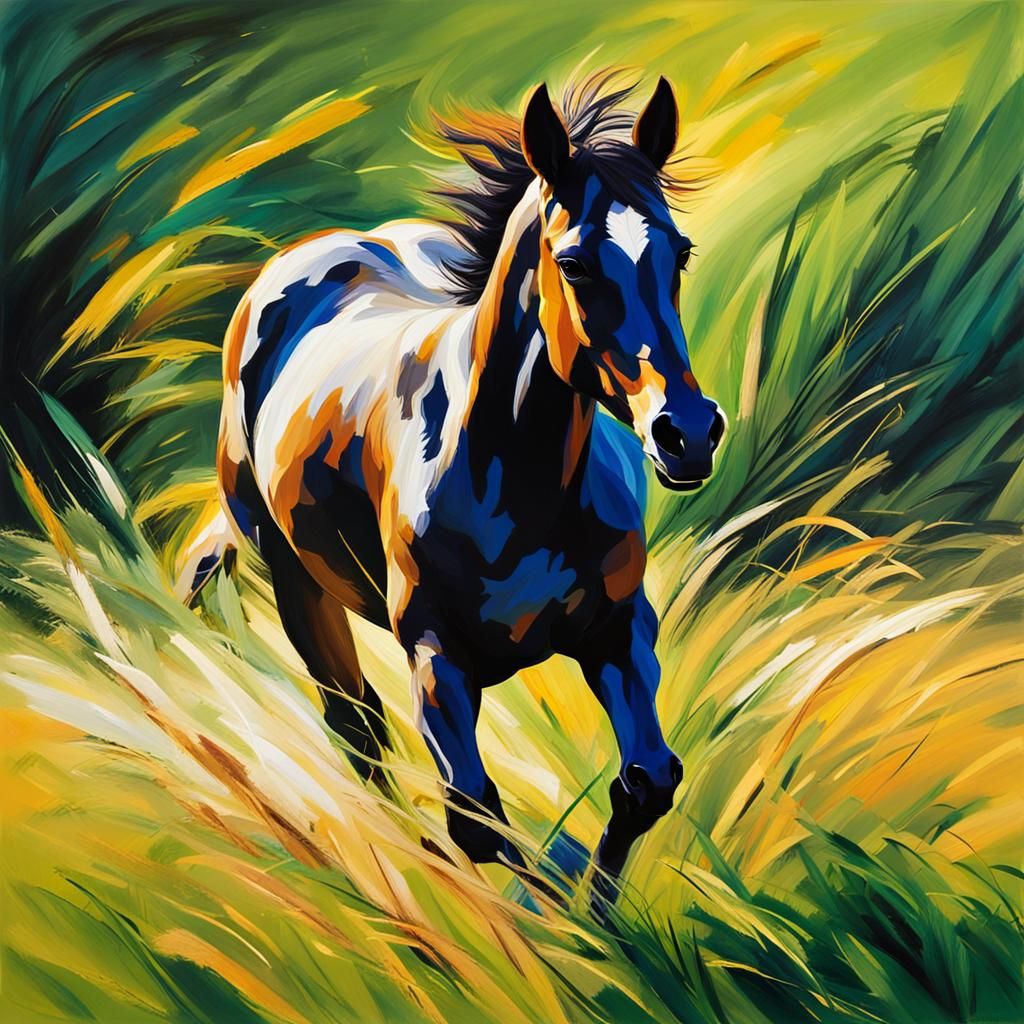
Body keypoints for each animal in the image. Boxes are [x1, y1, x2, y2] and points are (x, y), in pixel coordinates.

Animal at [179, 71, 725, 910]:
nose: (689, 434)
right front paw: (537, 920)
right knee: (358, 727)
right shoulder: (437, 657)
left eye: (680, 252)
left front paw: (598, 919)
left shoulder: (620, 631)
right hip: (297, 580)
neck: (515, 486)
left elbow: (645, 783)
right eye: (575, 264)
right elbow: (475, 817)